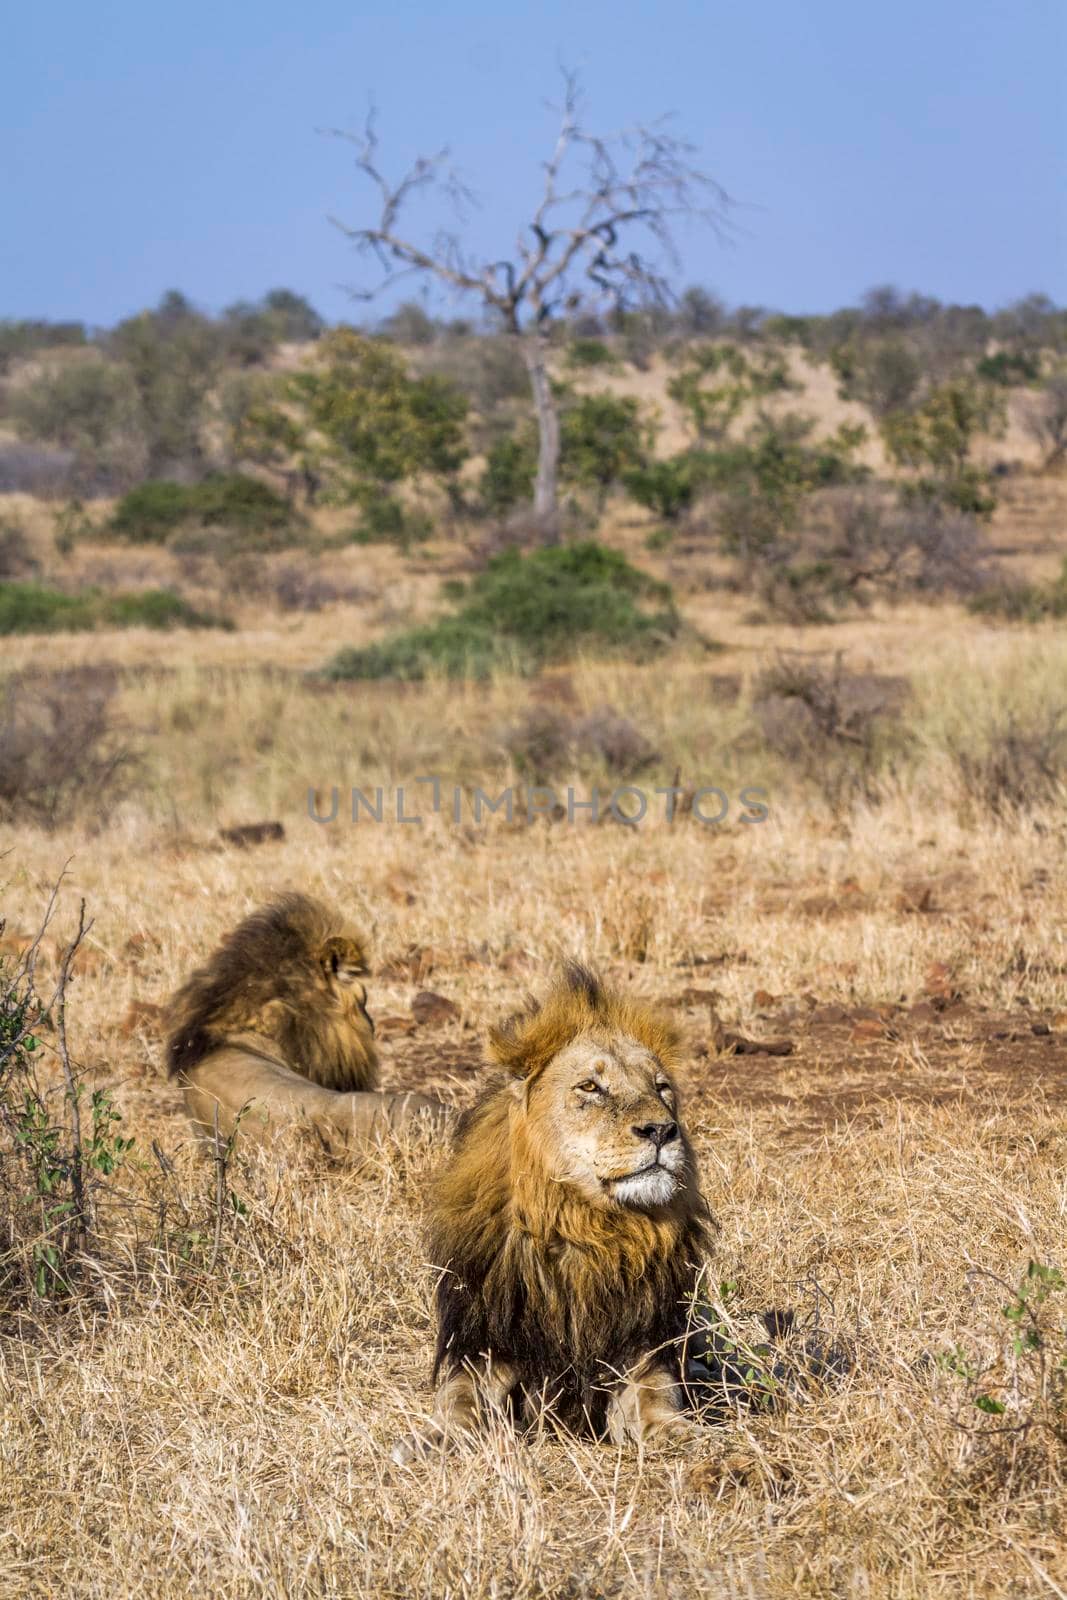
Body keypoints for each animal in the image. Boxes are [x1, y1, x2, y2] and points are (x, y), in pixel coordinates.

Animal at [391, 960, 710, 1465]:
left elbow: (657, 1395)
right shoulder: (484, 1348)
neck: (586, 1227)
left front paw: (678, 1432)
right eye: (590, 1087)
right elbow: (458, 1400)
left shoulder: (640, 1350)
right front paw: (435, 1438)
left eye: (661, 1088)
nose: (662, 1130)